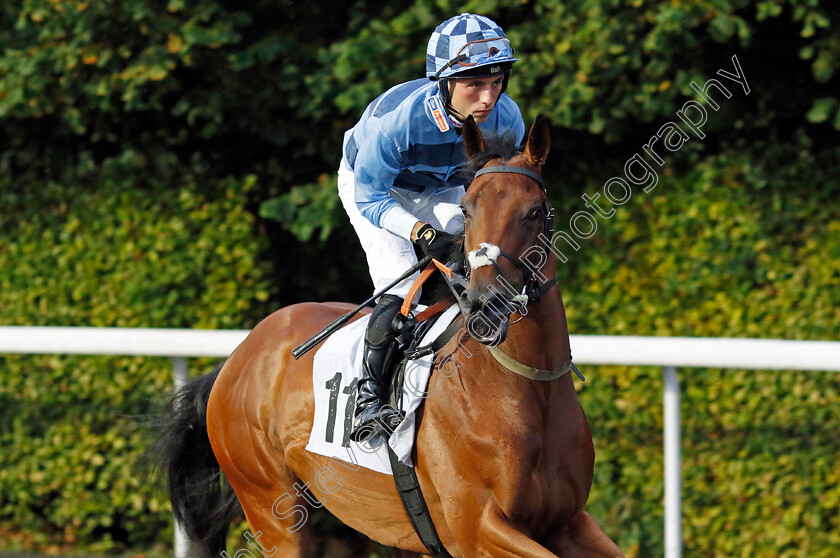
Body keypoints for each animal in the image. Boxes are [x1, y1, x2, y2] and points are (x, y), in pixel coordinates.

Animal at [154, 116, 620, 556]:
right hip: (271, 508)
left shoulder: (566, 522)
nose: (486, 305)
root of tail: (237, 359)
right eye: (467, 209)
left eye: (535, 210)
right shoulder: (479, 531)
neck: (523, 388)